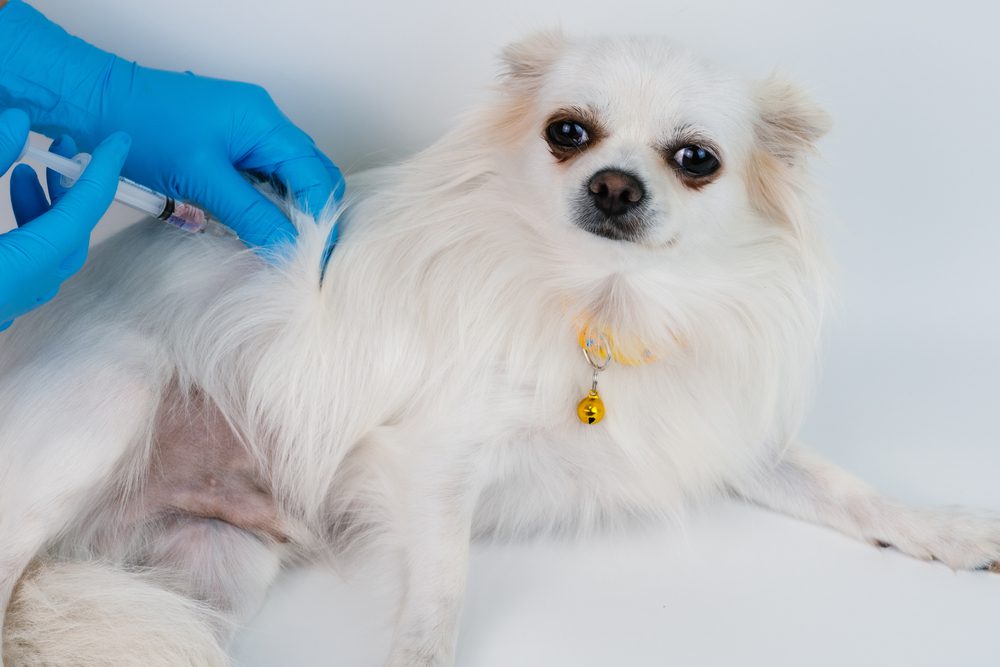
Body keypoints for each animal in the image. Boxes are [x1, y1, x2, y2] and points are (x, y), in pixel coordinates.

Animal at [1, 31, 1000, 667]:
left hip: (212, 569)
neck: (603, 310)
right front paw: (420, 656)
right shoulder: (432, 459)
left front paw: (942, 530)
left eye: (696, 159)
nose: (613, 184)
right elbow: (441, 585)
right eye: (568, 132)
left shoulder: (715, 435)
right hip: (117, 396)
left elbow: (845, 486)